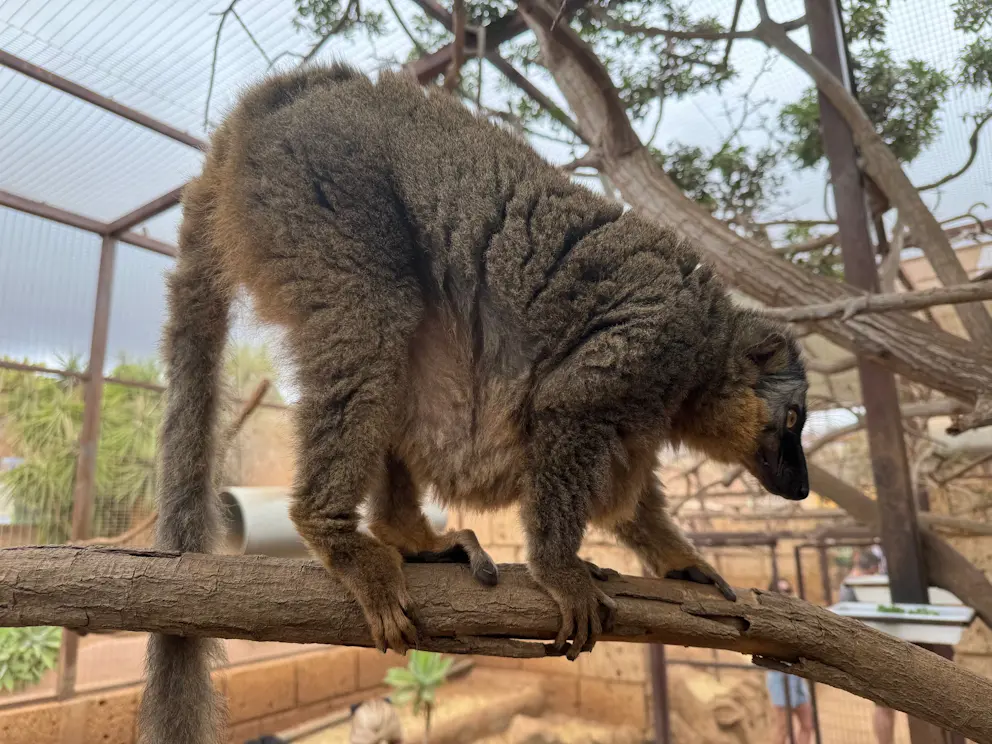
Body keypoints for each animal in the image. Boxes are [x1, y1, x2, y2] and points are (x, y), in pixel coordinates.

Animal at [137, 62, 809, 744]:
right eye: (794, 421)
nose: (803, 485)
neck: (706, 346)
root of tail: (266, 105)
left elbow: (630, 497)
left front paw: (679, 564)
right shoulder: (652, 344)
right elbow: (567, 405)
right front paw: (560, 569)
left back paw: (408, 538)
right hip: (313, 184)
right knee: (376, 316)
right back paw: (333, 531)